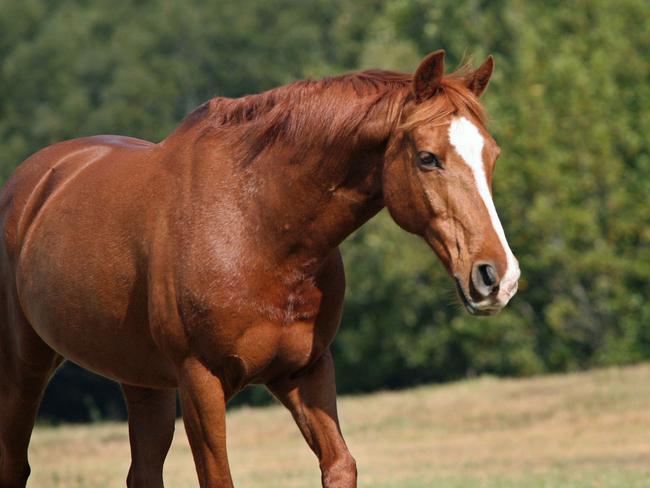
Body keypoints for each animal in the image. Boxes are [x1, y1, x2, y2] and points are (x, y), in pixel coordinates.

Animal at [0, 50, 516, 488]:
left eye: (492, 155)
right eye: (428, 158)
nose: (499, 277)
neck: (258, 226)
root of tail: (33, 181)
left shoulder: (305, 371)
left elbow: (340, 465)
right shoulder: (201, 381)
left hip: (142, 381)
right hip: (25, 367)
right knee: (15, 464)